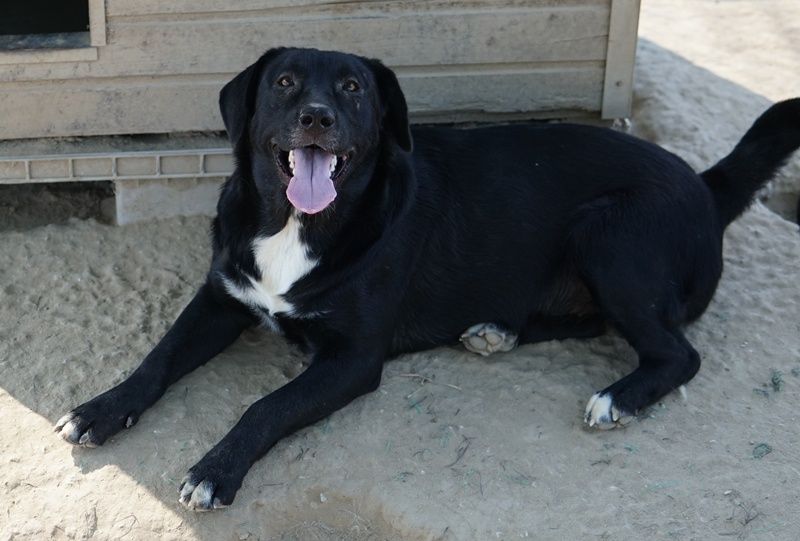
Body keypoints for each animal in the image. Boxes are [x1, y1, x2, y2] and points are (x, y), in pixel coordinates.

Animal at [55, 47, 800, 510]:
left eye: (353, 88)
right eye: (285, 83)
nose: (318, 117)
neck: (297, 224)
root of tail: (705, 186)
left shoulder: (353, 359)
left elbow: (265, 406)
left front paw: (215, 470)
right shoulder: (221, 298)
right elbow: (157, 359)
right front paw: (98, 408)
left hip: (609, 233)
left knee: (677, 352)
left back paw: (617, 397)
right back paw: (495, 330)